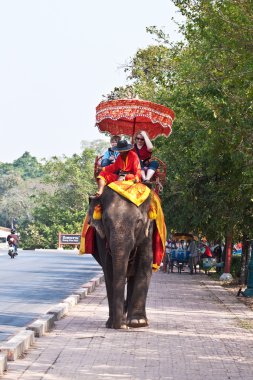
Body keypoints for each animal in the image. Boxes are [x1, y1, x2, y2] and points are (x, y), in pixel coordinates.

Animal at [88, 186, 154, 330]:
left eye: (138, 222)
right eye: (106, 221)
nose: (120, 326)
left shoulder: (149, 231)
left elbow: (144, 263)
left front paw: (138, 322)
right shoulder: (101, 237)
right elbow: (109, 269)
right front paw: (113, 323)